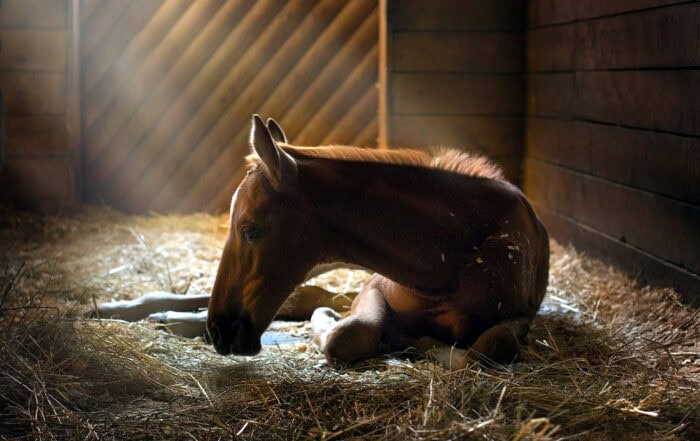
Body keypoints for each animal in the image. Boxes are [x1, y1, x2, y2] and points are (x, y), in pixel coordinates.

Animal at [206, 114, 549, 367]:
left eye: (250, 231)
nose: (219, 330)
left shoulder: (519, 316)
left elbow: (492, 346)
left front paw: (418, 343)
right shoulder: (375, 287)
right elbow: (347, 332)